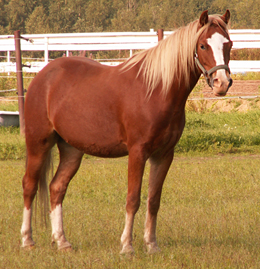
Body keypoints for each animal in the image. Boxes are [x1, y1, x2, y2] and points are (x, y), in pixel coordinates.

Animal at [20, 9, 232, 253]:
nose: (222, 83)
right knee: (29, 185)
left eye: (228, 44)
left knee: (57, 188)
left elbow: (153, 200)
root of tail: (43, 76)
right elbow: (133, 199)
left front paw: (151, 245)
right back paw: (27, 240)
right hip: (39, 143)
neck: (157, 90)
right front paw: (127, 246)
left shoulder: (164, 155)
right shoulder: (137, 152)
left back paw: (62, 241)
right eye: (203, 46)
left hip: (71, 149)